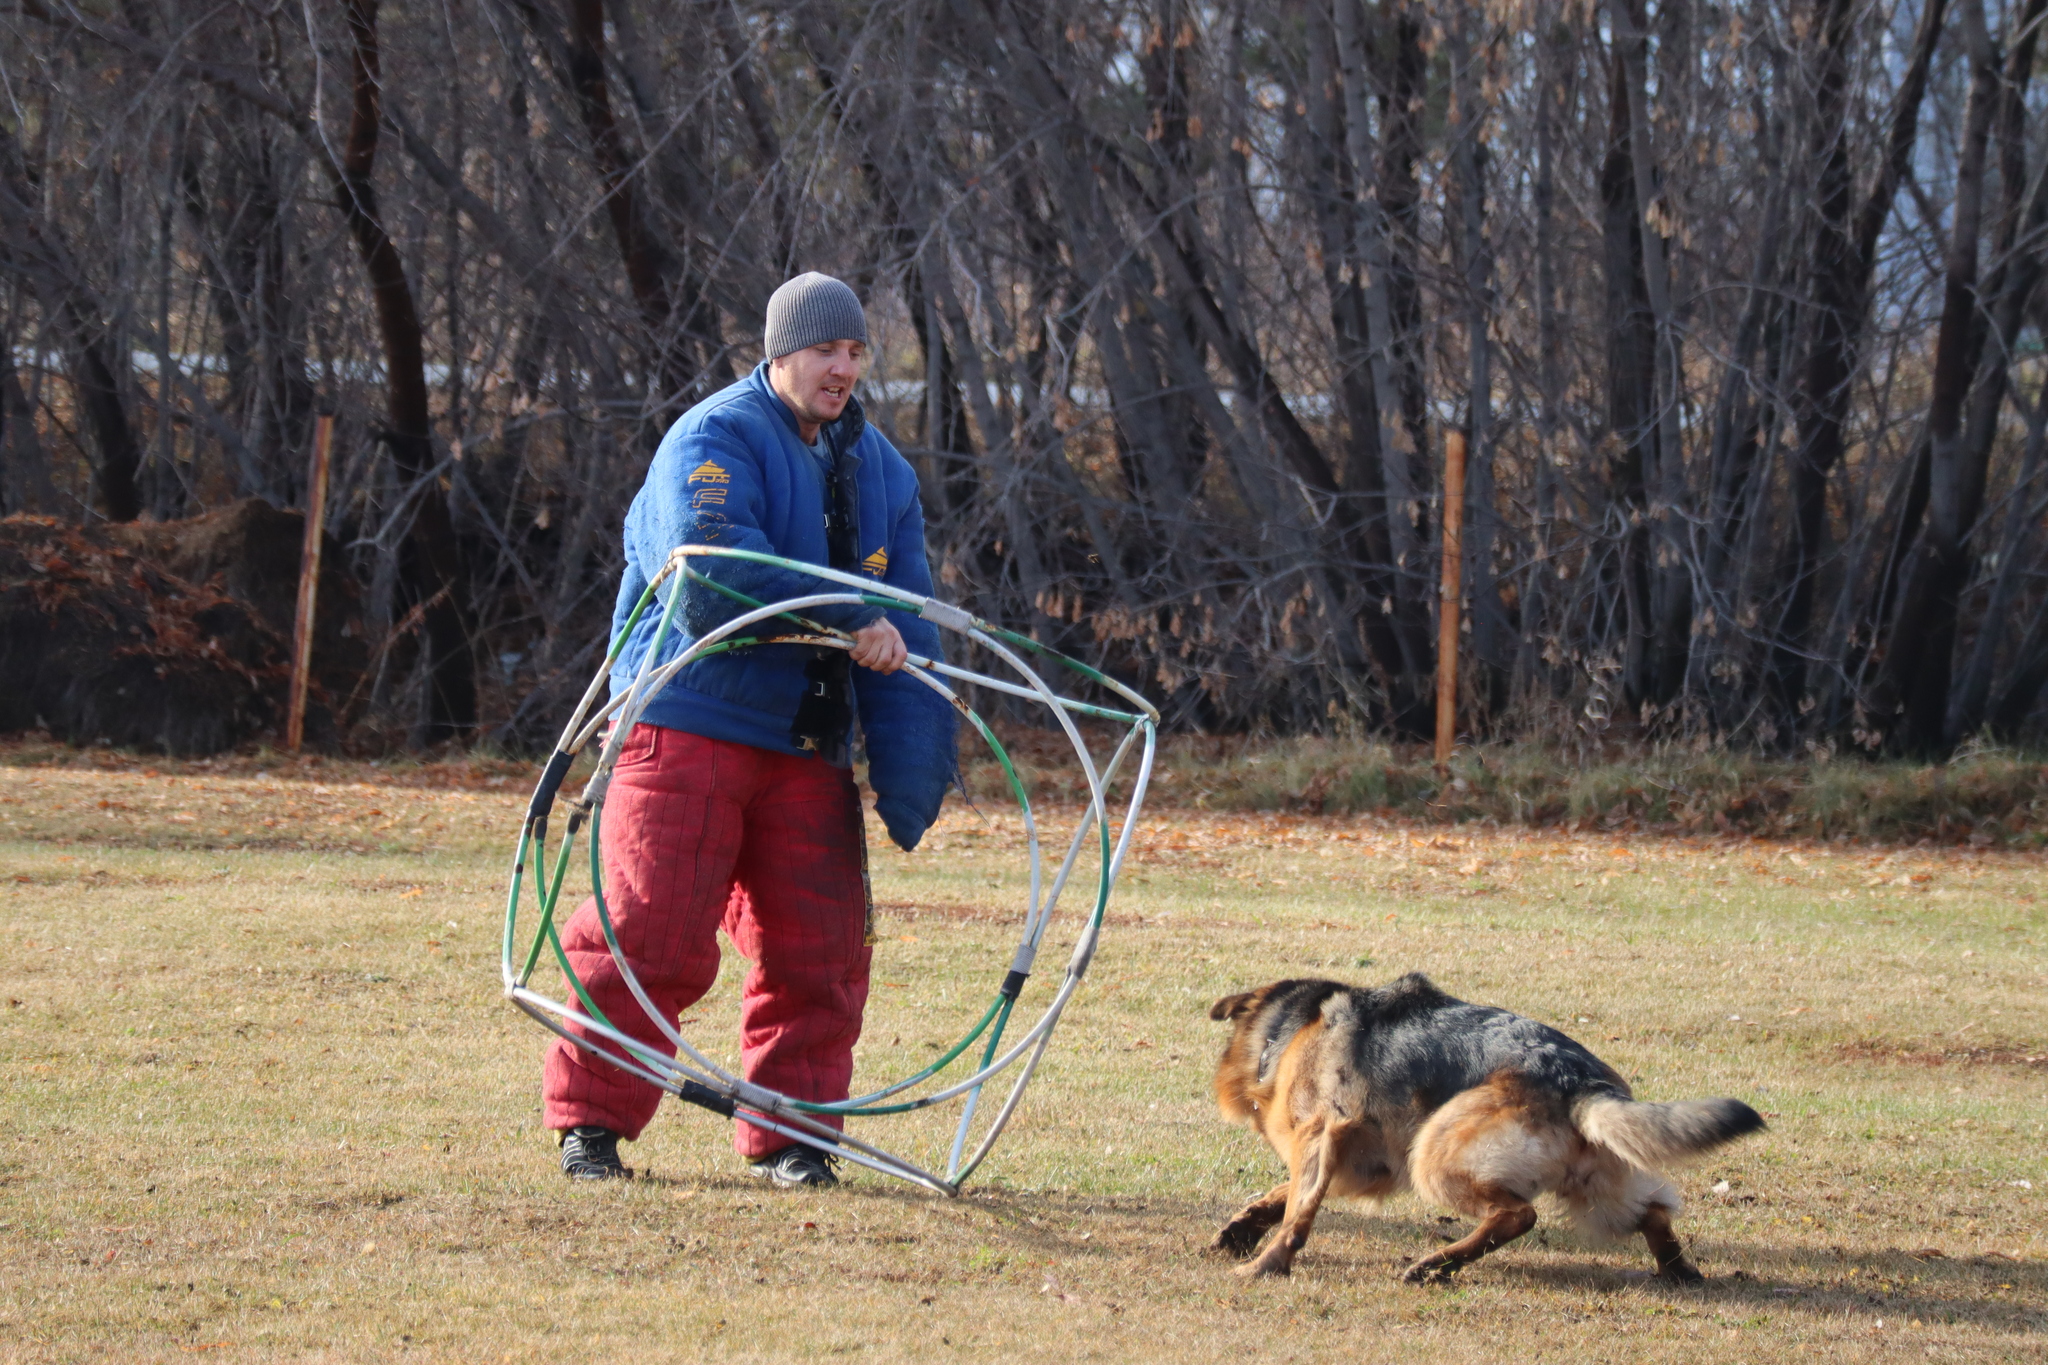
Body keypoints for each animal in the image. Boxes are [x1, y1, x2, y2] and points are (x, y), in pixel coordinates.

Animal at [1204, 970, 1769, 1285]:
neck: (1291, 1030)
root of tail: (1575, 1079)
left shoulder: (1320, 1138)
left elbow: (1297, 1211)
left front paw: (1267, 1264)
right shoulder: (1348, 1162)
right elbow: (1281, 1194)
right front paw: (1242, 1229)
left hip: (1435, 1157)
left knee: (1518, 1216)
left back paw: (1436, 1266)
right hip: (1602, 1191)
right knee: (1652, 1212)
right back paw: (1679, 1273)